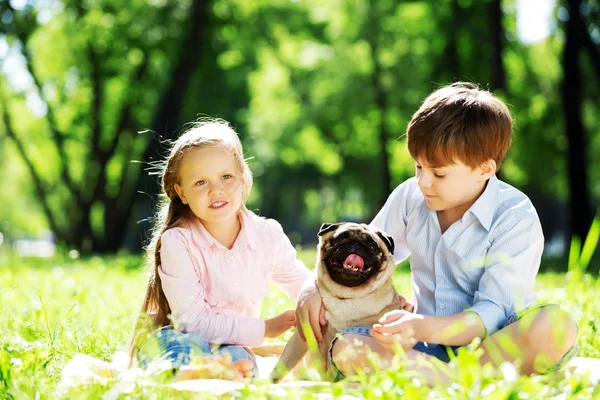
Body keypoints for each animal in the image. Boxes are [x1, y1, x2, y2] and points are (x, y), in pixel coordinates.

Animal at [270, 222, 400, 382]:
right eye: (341, 238)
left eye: (372, 245)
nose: (356, 244)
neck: (346, 297)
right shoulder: (303, 337)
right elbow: (284, 363)